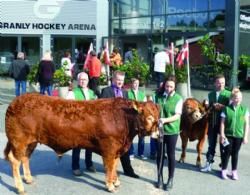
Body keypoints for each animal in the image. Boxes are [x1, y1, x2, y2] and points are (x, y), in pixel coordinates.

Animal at [3, 93, 159, 194]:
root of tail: (15, 102)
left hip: (31, 142)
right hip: (19, 140)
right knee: (15, 161)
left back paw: (28, 179)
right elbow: (109, 167)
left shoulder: (117, 149)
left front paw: (115, 181)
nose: (158, 134)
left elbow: (115, 166)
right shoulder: (109, 148)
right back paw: (20, 188)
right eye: (149, 117)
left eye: (158, 116)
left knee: (25, 158)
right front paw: (110, 185)